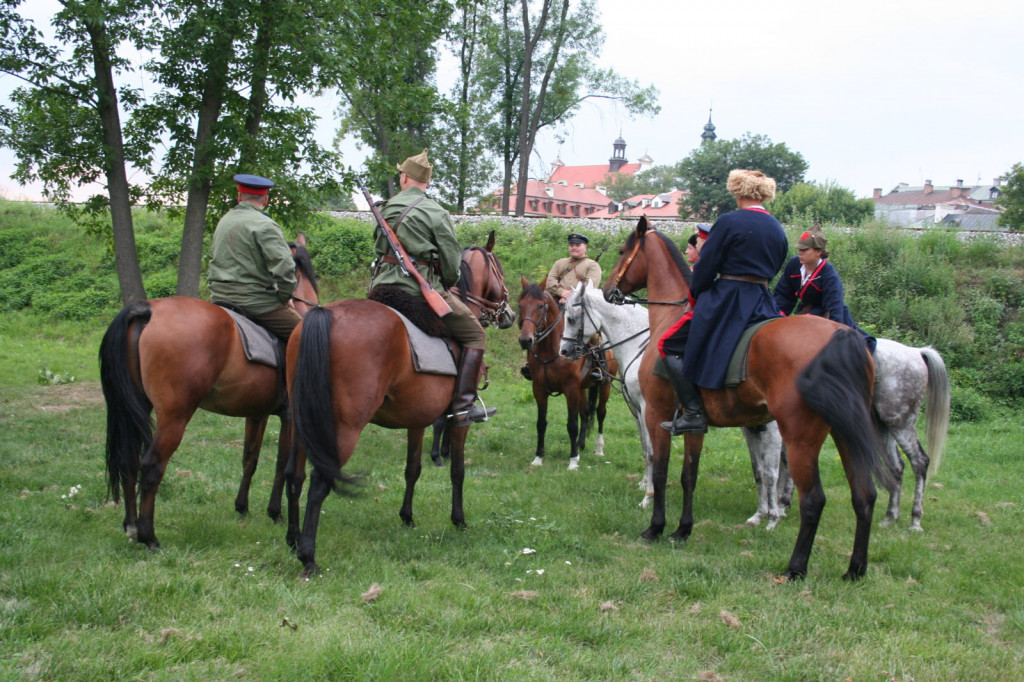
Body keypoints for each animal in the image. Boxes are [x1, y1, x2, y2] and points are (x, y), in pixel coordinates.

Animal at [100, 233, 317, 548]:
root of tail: (147, 309)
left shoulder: (258, 413)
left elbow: (250, 458)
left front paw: (242, 507)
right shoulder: (288, 415)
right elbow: (279, 464)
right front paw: (275, 513)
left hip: (136, 407)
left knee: (127, 460)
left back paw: (130, 526)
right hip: (175, 415)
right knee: (152, 467)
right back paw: (148, 536)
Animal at [516, 274, 610, 466]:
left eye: (541, 305)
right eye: (520, 305)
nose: (525, 340)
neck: (551, 350)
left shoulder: (570, 389)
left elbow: (572, 425)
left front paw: (573, 460)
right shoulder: (539, 389)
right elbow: (541, 423)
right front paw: (538, 457)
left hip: (605, 385)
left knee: (600, 412)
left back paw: (598, 449)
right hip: (582, 388)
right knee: (585, 412)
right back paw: (581, 444)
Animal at [561, 278, 790, 522]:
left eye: (571, 318)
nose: (563, 351)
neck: (640, 343)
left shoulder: (648, 409)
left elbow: (652, 452)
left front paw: (648, 496)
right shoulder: (638, 410)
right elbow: (646, 448)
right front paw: (645, 484)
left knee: (776, 465)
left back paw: (776, 509)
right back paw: (774, 508)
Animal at [602, 215, 892, 577]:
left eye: (622, 250)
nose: (607, 290)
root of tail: (841, 337)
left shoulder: (657, 414)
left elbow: (660, 469)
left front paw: (655, 528)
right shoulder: (693, 423)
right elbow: (688, 476)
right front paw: (682, 530)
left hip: (800, 436)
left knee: (813, 499)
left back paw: (795, 567)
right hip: (844, 433)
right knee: (864, 494)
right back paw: (855, 569)